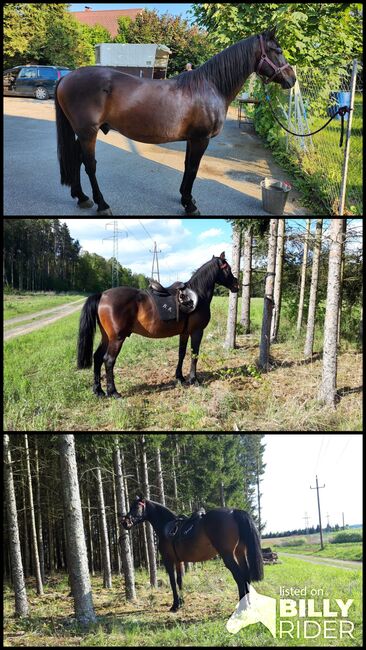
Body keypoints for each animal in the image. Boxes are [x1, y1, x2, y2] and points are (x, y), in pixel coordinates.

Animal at [55, 28, 294, 215]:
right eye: (278, 51)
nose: (292, 79)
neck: (210, 86)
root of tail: (67, 77)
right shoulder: (201, 139)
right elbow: (193, 169)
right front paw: (190, 205)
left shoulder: (193, 139)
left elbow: (188, 166)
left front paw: (185, 198)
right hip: (88, 132)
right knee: (89, 164)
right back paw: (102, 204)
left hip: (82, 133)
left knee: (76, 159)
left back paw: (82, 197)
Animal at [76, 252, 237, 394]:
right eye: (227, 268)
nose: (237, 284)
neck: (197, 295)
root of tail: (102, 295)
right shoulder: (197, 332)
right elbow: (194, 355)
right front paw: (194, 379)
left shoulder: (184, 333)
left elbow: (181, 353)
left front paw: (180, 377)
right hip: (116, 339)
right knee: (108, 360)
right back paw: (113, 392)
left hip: (106, 337)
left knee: (97, 358)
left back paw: (98, 391)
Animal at [123, 496, 264, 608]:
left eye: (137, 506)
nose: (125, 522)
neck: (165, 526)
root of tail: (234, 511)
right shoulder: (178, 561)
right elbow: (179, 581)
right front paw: (181, 602)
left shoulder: (168, 561)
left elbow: (172, 581)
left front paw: (175, 605)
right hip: (240, 553)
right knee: (246, 576)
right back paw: (248, 605)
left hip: (228, 555)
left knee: (239, 577)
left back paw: (241, 608)